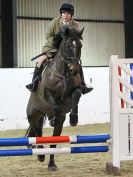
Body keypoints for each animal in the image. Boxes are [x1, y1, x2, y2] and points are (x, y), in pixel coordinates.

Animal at [25, 25, 83, 171]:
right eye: (67, 46)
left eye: (80, 46)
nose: (74, 70)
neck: (63, 73)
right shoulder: (46, 93)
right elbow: (55, 105)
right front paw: (54, 117)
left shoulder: (76, 90)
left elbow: (76, 96)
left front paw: (74, 119)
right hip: (34, 117)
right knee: (38, 134)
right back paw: (41, 155)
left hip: (56, 125)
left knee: (53, 143)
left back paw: (51, 164)